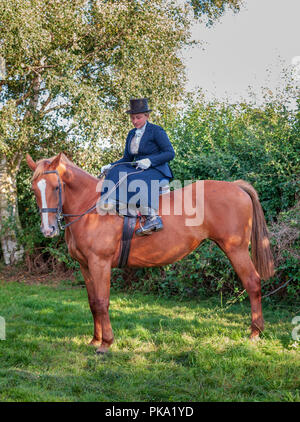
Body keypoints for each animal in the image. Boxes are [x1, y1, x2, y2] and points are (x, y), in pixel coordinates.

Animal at [26, 153, 274, 354]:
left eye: (56, 188)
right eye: (34, 188)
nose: (48, 230)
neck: (92, 207)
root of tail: (236, 187)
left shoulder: (100, 263)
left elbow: (103, 301)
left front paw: (106, 343)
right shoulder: (85, 265)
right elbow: (93, 302)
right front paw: (95, 340)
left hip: (236, 249)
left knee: (253, 283)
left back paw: (255, 332)